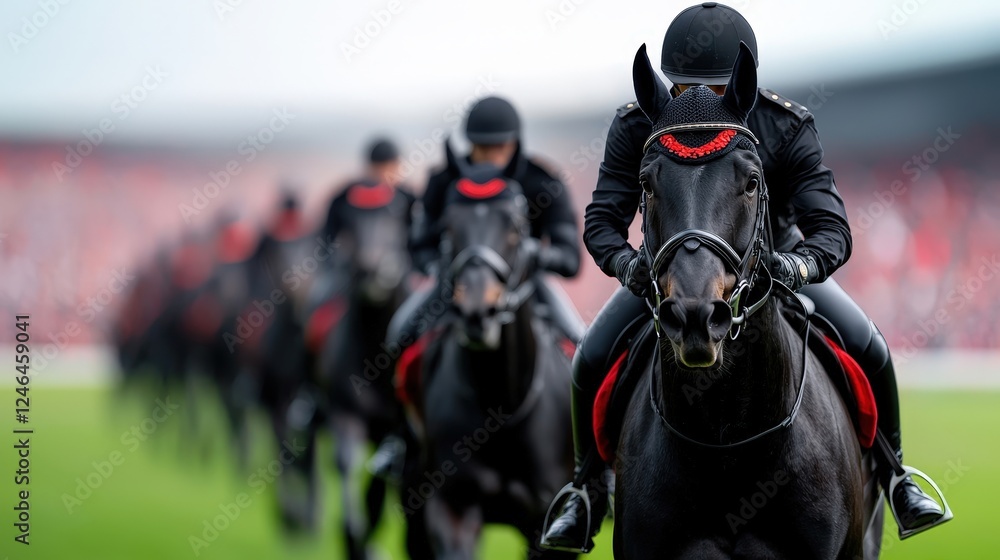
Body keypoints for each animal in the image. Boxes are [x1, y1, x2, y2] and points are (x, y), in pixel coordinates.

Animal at [310, 180, 414, 560]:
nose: (372, 271)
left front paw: (364, 543)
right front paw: (353, 537)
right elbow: (346, 464)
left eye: (395, 219)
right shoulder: (345, 412)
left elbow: (377, 489)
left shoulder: (394, 431)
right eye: (350, 224)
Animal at [402, 149, 577, 560]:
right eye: (448, 226)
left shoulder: (545, 524)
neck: (501, 404)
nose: (477, 313)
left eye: (515, 225)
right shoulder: (452, 506)